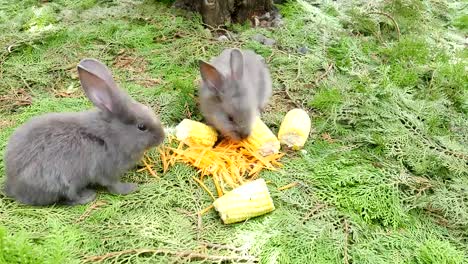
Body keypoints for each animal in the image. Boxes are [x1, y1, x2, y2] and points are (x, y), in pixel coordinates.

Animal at [2, 58, 165, 206]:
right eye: (141, 126)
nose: (162, 137)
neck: (111, 134)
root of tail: (13, 186)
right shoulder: (107, 170)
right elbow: (113, 186)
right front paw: (131, 188)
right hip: (60, 181)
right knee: (69, 197)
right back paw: (87, 196)